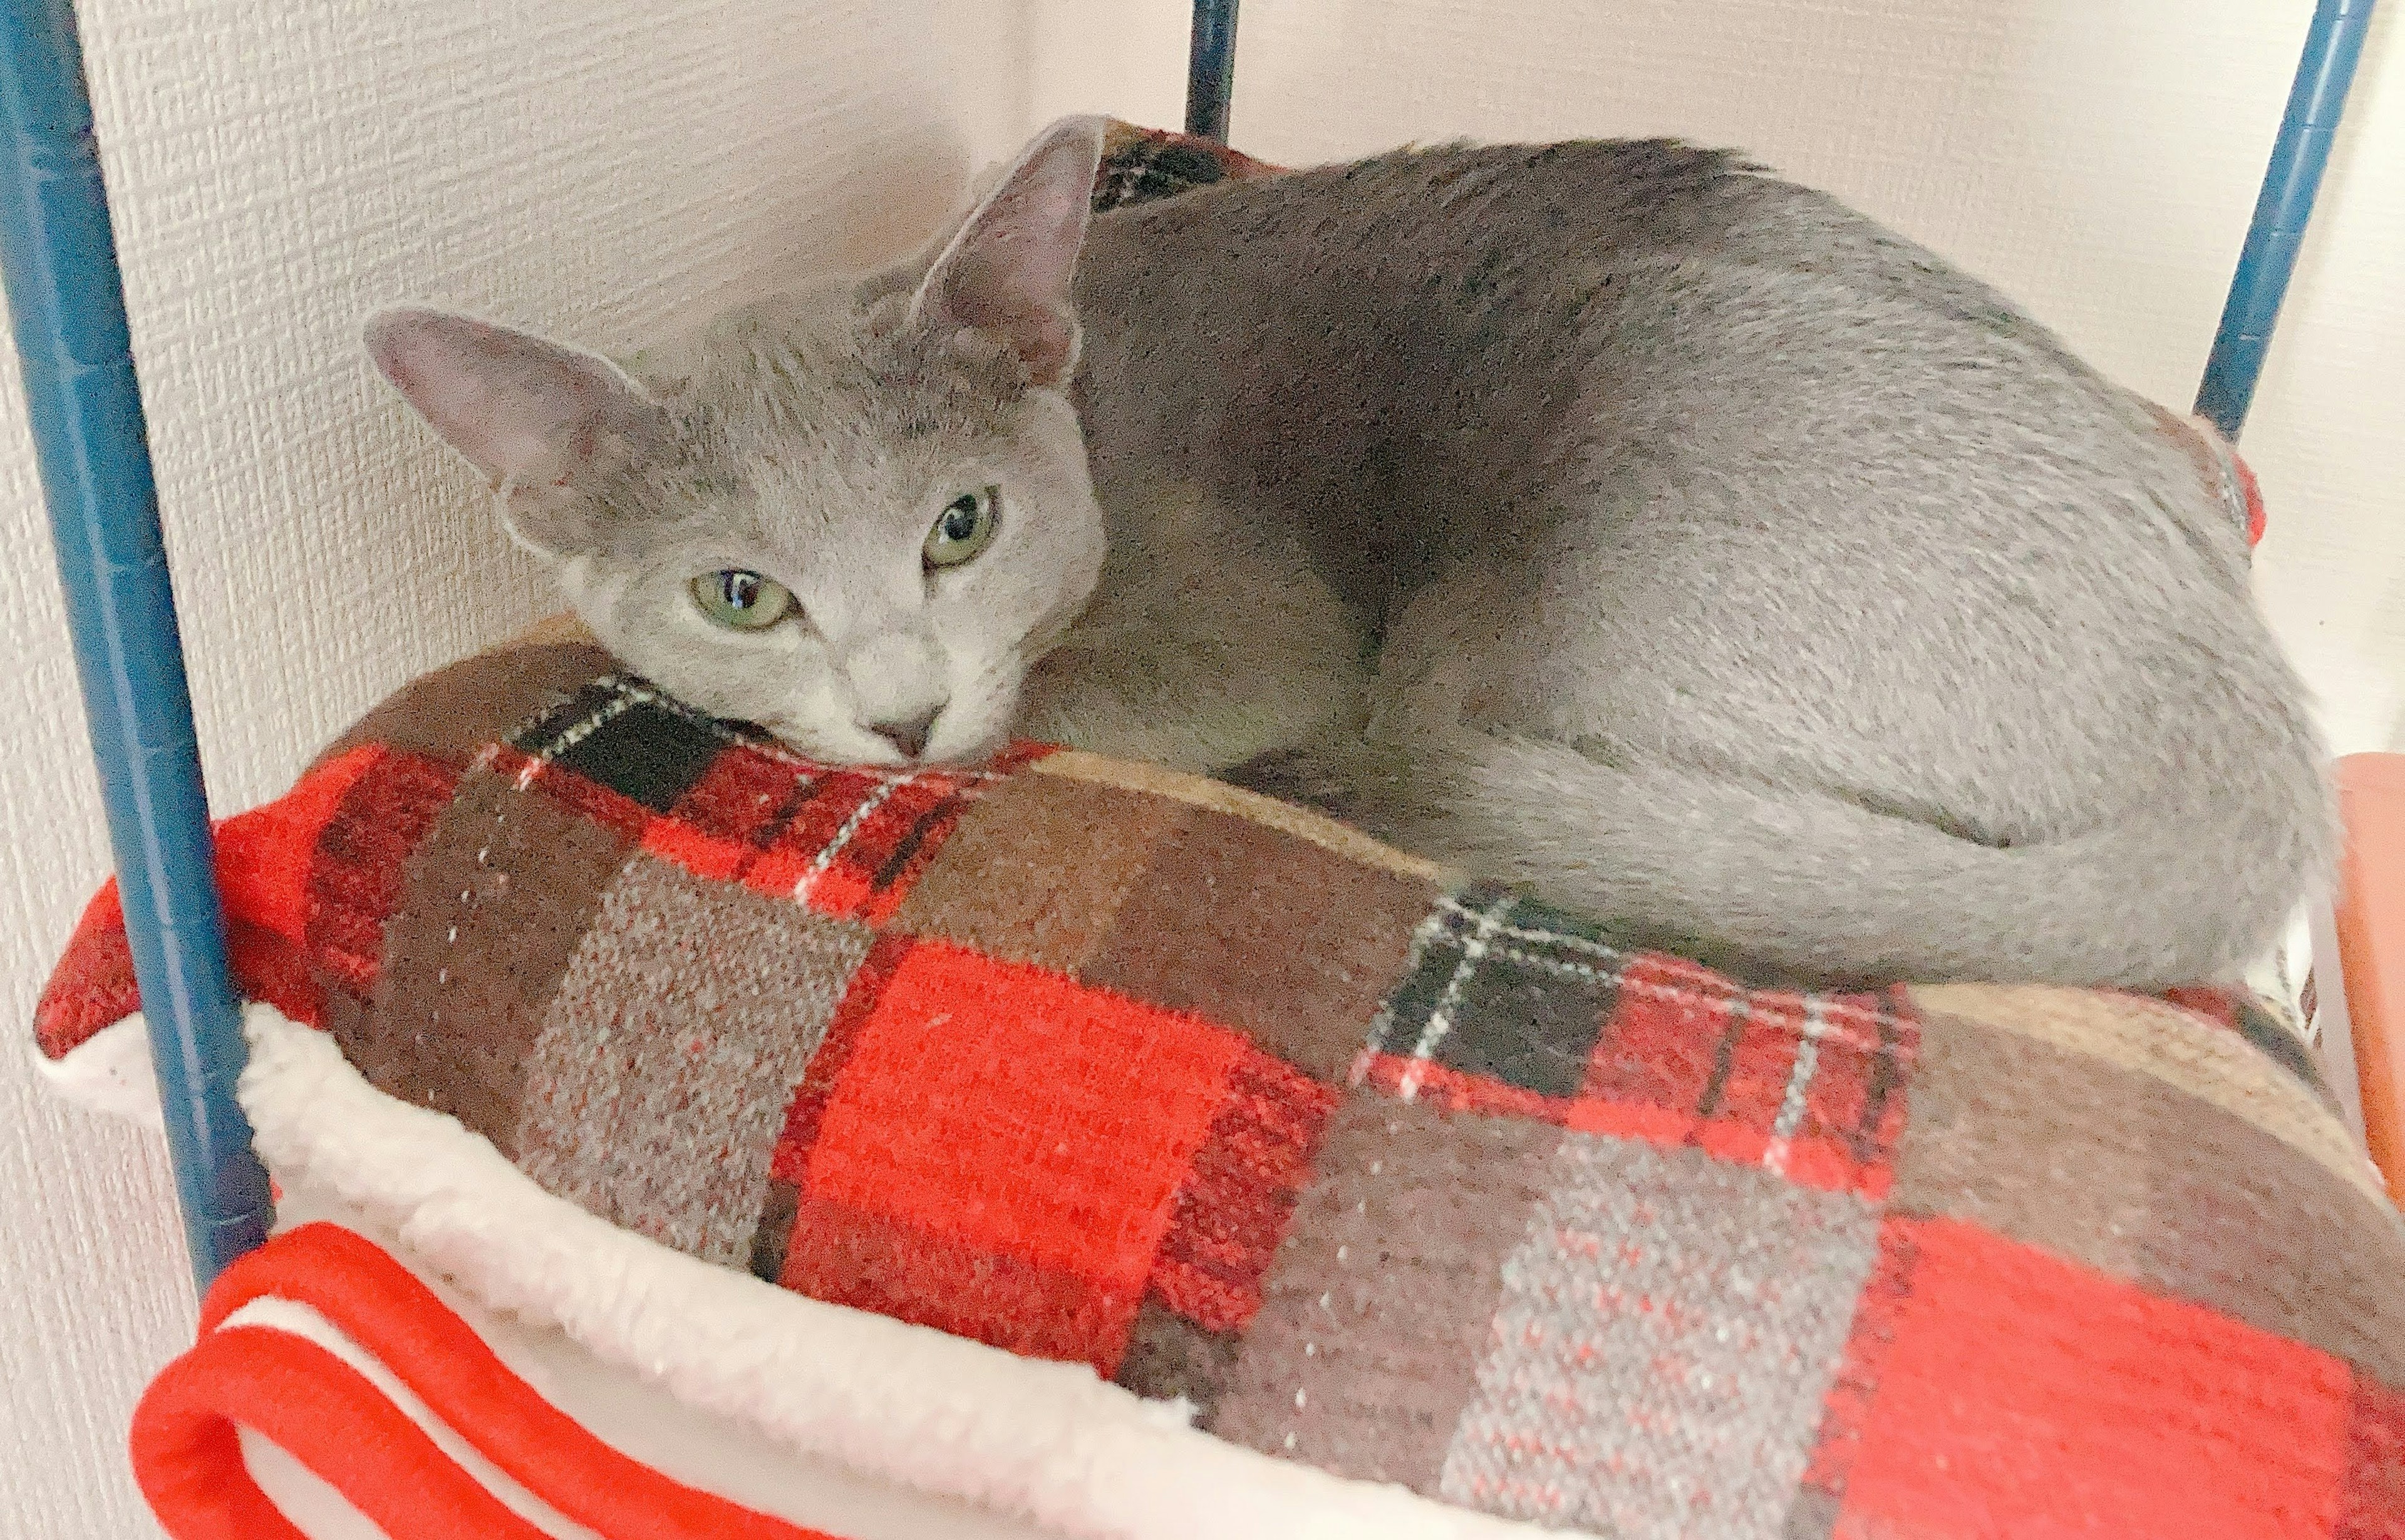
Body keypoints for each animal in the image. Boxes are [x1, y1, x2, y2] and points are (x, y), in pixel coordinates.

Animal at [370, 114, 2328, 981]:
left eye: (959, 527)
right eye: (742, 594)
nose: (903, 711)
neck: (1098, 398)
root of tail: (2266, 745)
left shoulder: (1263, 629)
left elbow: (1077, 696)